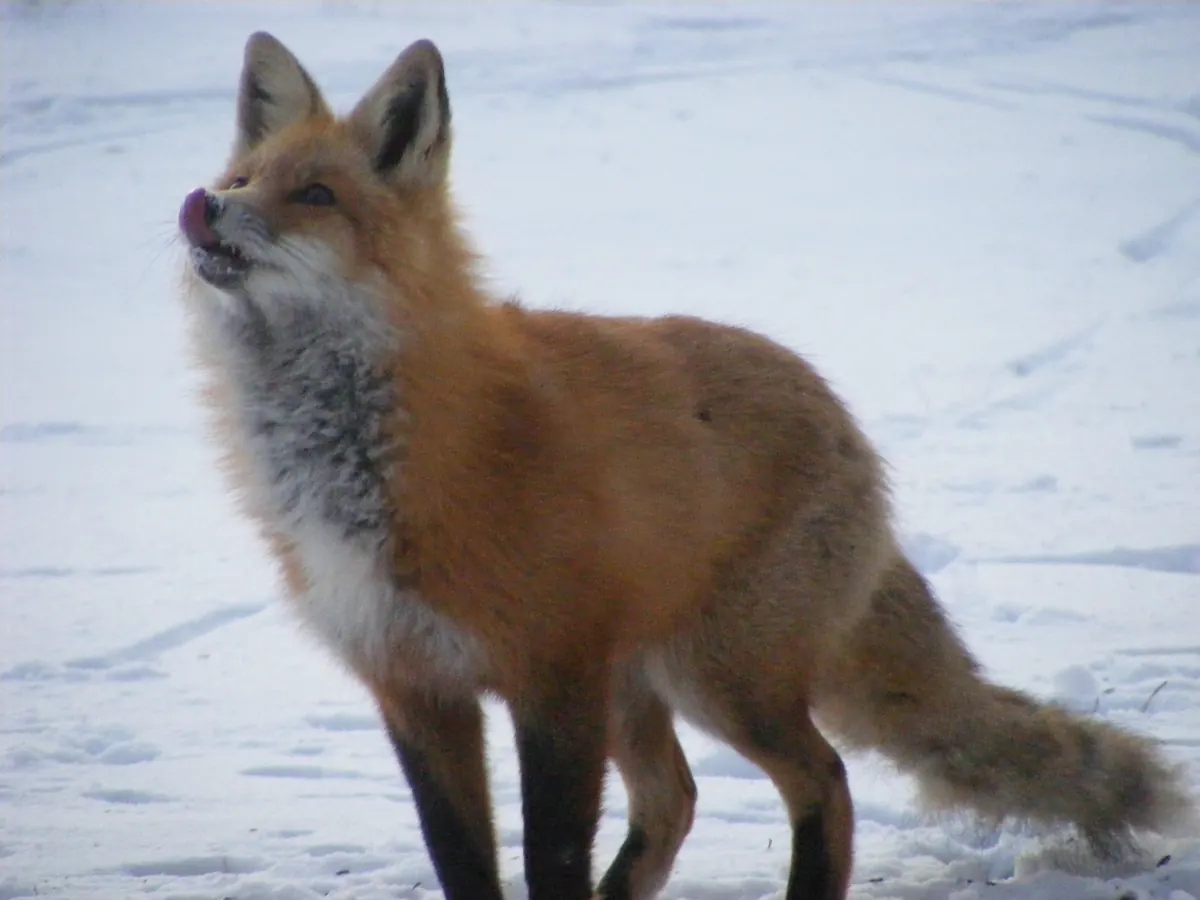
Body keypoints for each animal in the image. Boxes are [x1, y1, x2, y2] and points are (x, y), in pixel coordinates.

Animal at [177, 31, 1191, 900]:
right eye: (241, 179)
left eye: (314, 196)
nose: (201, 207)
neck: (365, 466)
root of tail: (840, 413)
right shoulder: (416, 690)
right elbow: (465, 862)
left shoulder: (551, 681)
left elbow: (551, 858)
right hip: (642, 687)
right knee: (675, 805)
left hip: (720, 680)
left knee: (823, 781)